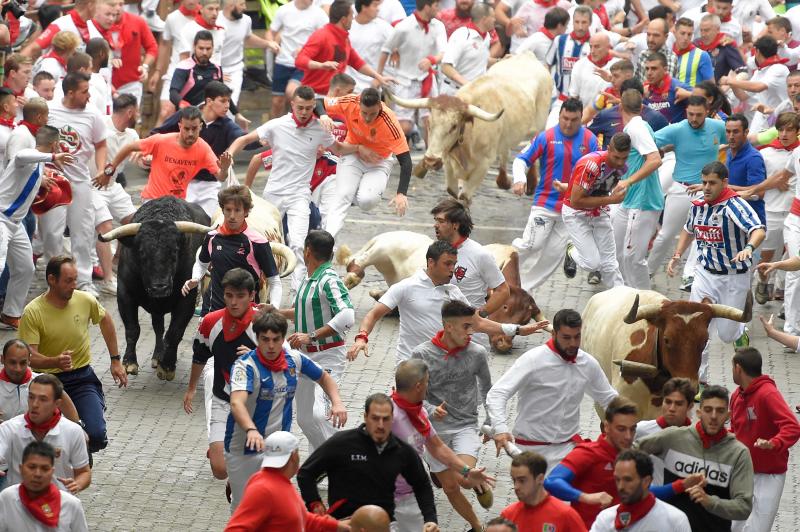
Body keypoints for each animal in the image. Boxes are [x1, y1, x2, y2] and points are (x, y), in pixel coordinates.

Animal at [98, 197, 211, 380]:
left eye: (174, 252)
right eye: (142, 252)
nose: (160, 288)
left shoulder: (187, 299)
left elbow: (174, 332)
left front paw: (167, 366)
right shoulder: (124, 294)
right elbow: (132, 329)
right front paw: (129, 362)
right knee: (158, 327)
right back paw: (157, 356)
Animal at [386, 52, 552, 202]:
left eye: (454, 126)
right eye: (429, 124)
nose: (431, 161)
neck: (469, 135)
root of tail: (527, 55)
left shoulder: (483, 164)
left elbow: (464, 197)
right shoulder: (448, 160)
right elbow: (452, 191)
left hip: (539, 126)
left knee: (534, 146)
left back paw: (531, 184)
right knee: (505, 151)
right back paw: (504, 181)